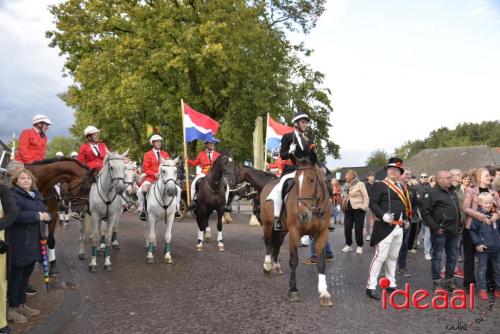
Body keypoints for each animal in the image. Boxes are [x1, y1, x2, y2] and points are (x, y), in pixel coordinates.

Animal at [258, 155, 332, 306]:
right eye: (296, 181)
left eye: (312, 179)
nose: (303, 215)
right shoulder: (294, 232)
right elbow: (293, 260)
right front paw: (293, 290)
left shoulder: (322, 233)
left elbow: (321, 263)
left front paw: (324, 292)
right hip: (268, 224)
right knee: (268, 243)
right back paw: (267, 266)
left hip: (282, 230)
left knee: (277, 245)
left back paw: (276, 266)